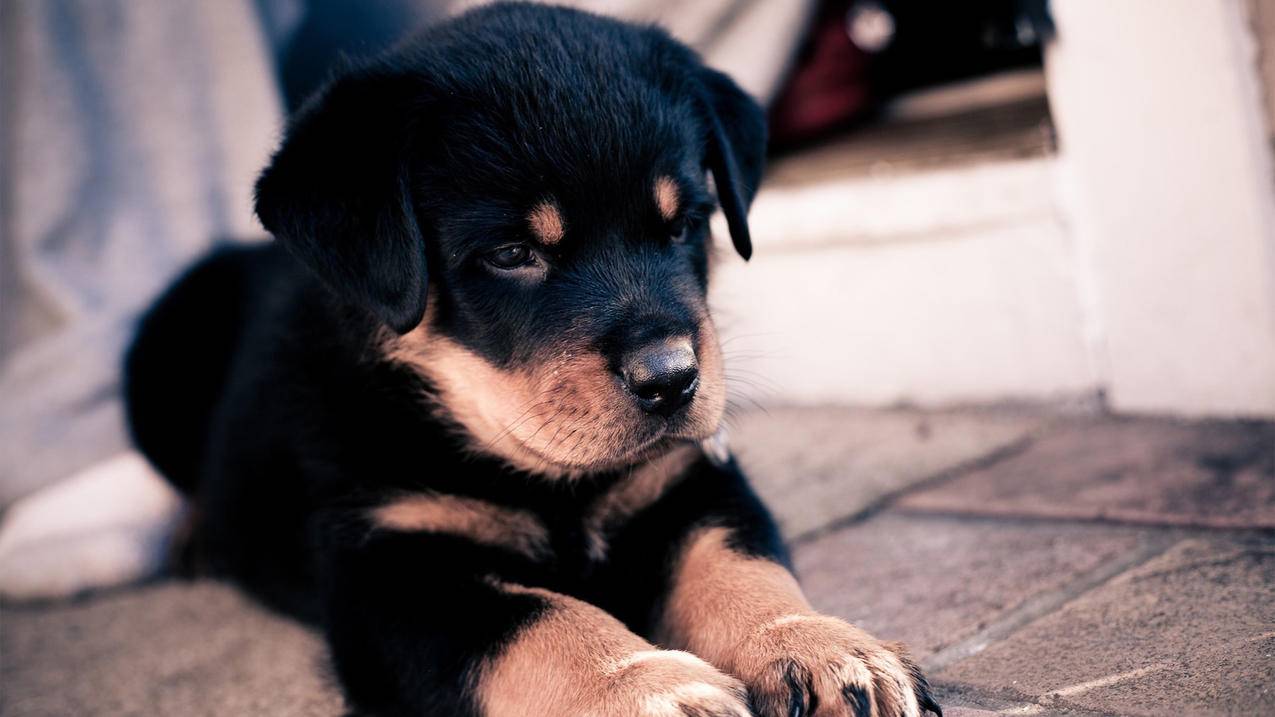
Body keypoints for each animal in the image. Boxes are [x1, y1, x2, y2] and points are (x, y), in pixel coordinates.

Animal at [124, 5, 943, 714]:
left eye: (685, 224)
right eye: (512, 254)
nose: (672, 377)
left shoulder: (691, 478)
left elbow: (741, 566)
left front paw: (820, 648)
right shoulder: (387, 569)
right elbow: (538, 621)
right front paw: (646, 688)